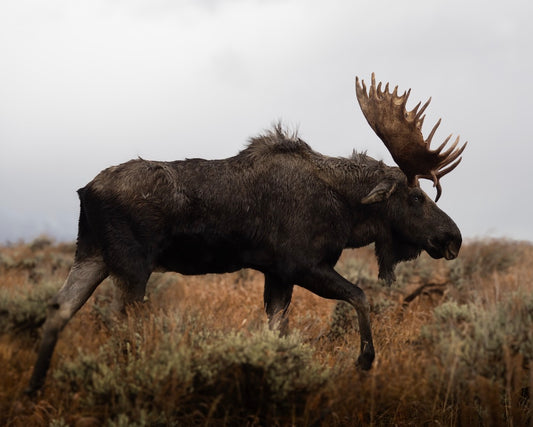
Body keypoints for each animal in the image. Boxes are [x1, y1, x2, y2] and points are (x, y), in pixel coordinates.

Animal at [25, 73, 466, 394]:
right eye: (415, 197)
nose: (453, 238)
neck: (349, 211)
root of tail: (86, 192)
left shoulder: (278, 274)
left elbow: (276, 330)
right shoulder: (303, 265)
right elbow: (360, 295)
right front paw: (364, 360)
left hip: (92, 255)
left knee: (59, 309)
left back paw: (34, 388)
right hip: (132, 265)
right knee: (120, 326)